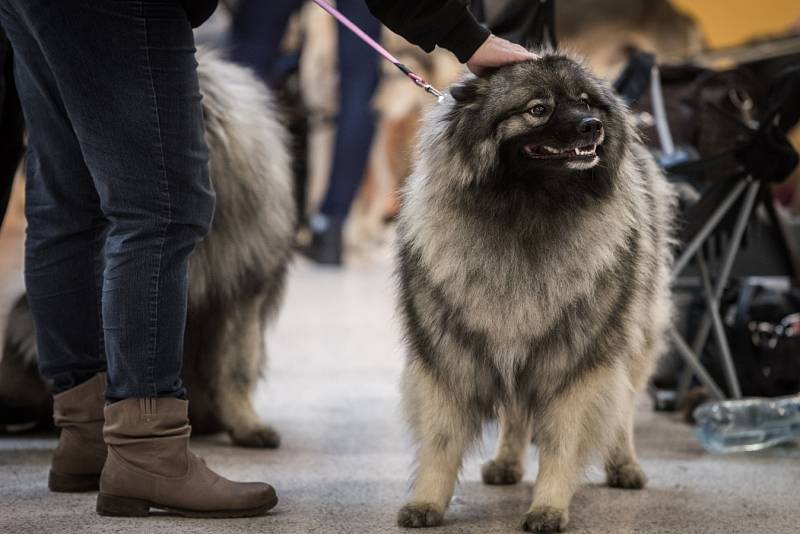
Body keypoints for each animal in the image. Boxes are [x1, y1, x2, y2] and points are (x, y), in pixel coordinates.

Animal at [394, 53, 676, 532]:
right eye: (538, 109)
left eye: (585, 102)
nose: (591, 126)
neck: (528, 211)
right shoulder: (450, 357)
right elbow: (441, 441)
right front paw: (427, 501)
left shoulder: (576, 364)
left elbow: (563, 443)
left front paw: (548, 507)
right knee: (515, 413)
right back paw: (507, 462)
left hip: (634, 337)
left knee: (622, 411)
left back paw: (623, 465)